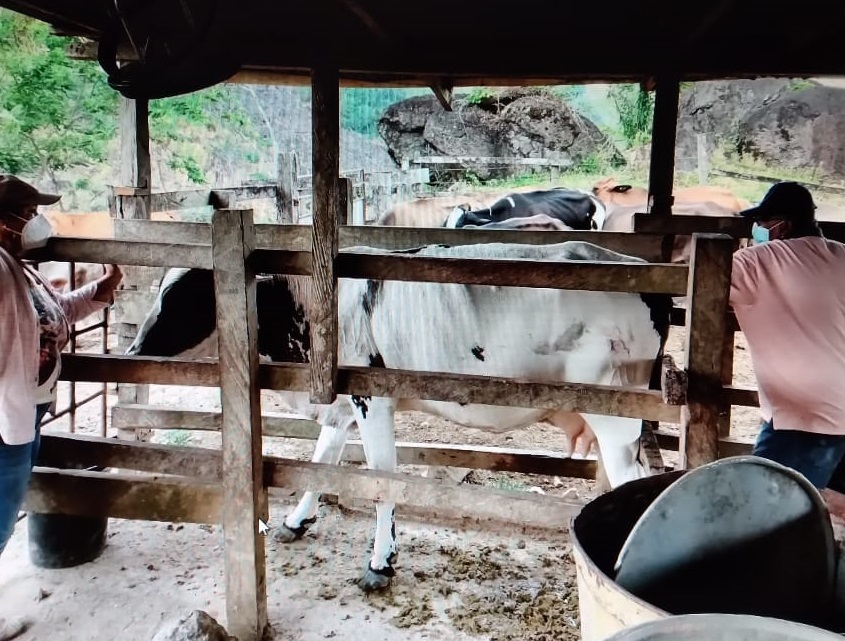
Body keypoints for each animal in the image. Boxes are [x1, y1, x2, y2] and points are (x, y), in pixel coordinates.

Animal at [129, 240, 672, 592]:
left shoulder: (372, 400)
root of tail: (642, 272)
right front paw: (296, 520)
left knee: (633, 481)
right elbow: (321, 460)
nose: (133, 350)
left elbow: (381, 477)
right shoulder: (342, 406)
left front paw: (380, 562)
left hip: (614, 413)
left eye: (189, 296)